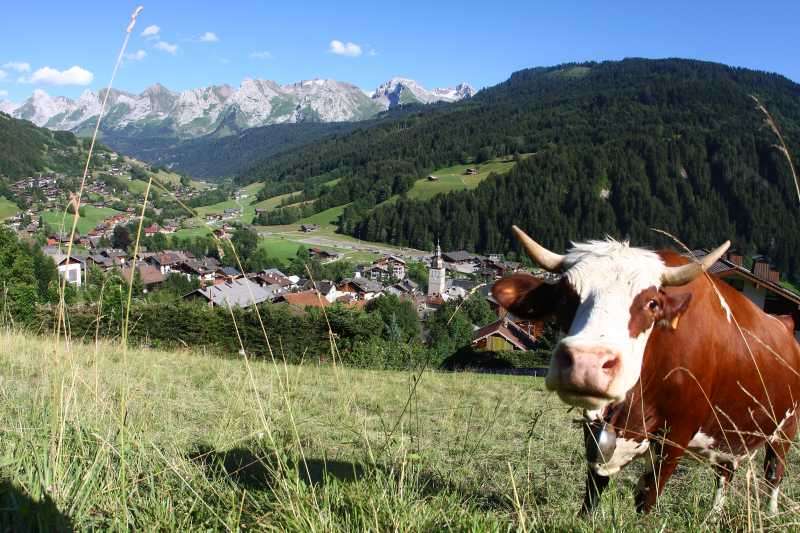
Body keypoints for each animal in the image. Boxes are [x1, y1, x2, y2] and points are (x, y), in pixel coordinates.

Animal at [490, 225, 800, 516]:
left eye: (652, 303)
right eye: (565, 297)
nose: (586, 362)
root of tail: (784, 323)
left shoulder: (676, 435)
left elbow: (648, 496)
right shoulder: (596, 429)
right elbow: (594, 488)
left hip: (785, 428)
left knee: (774, 472)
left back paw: (771, 513)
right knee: (724, 473)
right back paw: (712, 517)